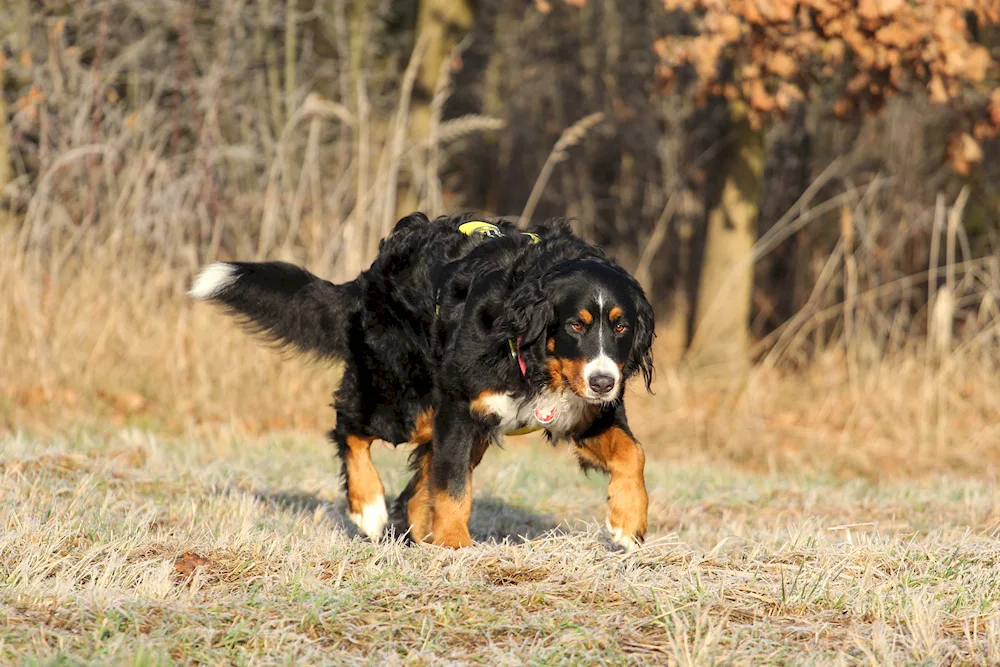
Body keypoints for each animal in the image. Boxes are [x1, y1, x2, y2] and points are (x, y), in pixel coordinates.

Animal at [191, 213, 656, 548]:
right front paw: (454, 546)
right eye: (576, 325)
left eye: (620, 327)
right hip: (404, 400)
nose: (604, 382)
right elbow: (452, 489)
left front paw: (627, 520)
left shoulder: (582, 412)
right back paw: (369, 507)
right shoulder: (460, 408)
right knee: (349, 426)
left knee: (417, 482)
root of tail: (370, 275)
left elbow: (633, 453)